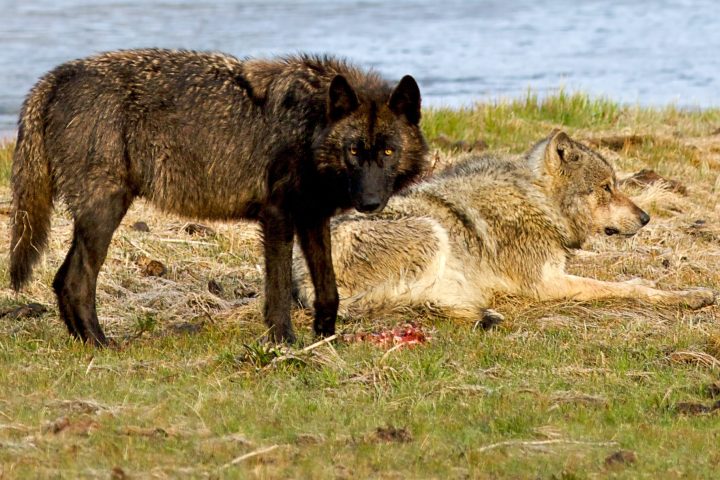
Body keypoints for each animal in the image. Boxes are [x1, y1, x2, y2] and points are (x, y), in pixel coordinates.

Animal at [9, 49, 428, 345]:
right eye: (354, 151)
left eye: (387, 151)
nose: (370, 203)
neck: (310, 126)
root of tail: (55, 77)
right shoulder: (278, 217)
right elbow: (278, 293)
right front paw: (284, 343)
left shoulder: (313, 217)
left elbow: (329, 291)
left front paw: (325, 341)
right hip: (105, 213)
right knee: (76, 281)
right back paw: (101, 344)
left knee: (61, 280)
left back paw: (83, 342)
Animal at [294, 129, 715, 324]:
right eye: (606, 188)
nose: (646, 218)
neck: (538, 202)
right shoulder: (547, 283)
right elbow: (627, 288)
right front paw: (687, 296)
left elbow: (626, 282)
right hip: (432, 231)